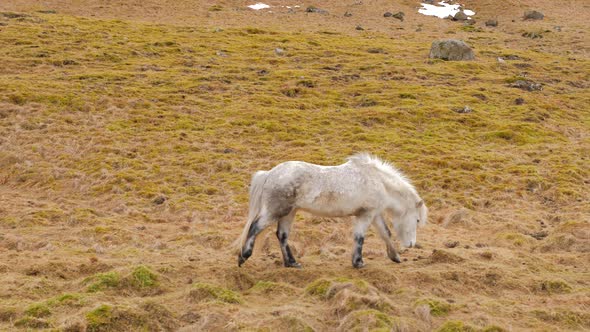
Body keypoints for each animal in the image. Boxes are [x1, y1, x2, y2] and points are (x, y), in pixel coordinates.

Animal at [237, 154, 430, 268]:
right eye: (417, 220)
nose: (411, 244)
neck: (378, 181)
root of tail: (269, 173)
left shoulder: (374, 214)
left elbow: (386, 233)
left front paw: (395, 256)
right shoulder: (365, 215)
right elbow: (360, 237)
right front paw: (358, 262)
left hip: (289, 213)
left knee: (282, 235)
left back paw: (292, 263)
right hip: (275, 212)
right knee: (255, 227)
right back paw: (243, 257)